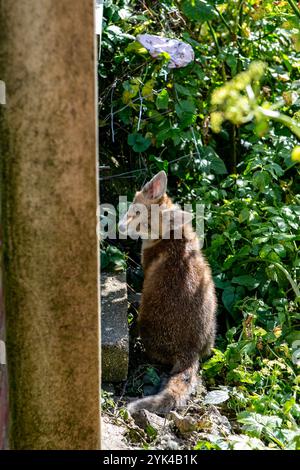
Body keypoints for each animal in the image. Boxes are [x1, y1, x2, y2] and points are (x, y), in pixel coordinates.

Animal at [118, 171, 217, 414]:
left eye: (146, 225)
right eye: (134, 211)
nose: (121, 229)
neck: (173, 238)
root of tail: (190, 351)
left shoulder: (146, 267)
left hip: (146, 327)